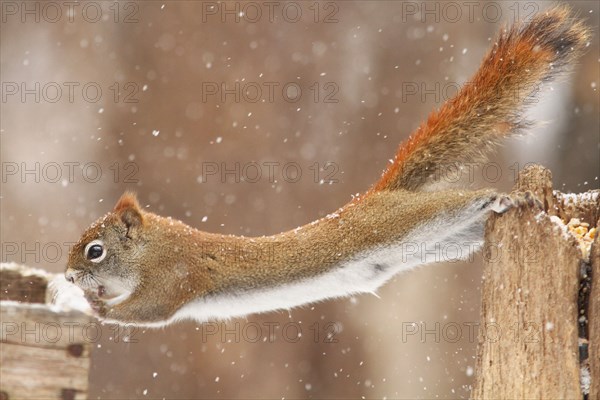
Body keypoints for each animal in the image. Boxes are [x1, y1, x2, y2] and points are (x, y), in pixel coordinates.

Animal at [64, 4, 584, 326]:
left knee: (465, 201)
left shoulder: (174, 278)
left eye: (95, 251)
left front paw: (91, 307)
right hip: (439, 243)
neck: (152, 248)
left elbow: (147, 312)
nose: (69, 276)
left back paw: (506, 194)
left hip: (407, 221)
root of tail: (377, 196)